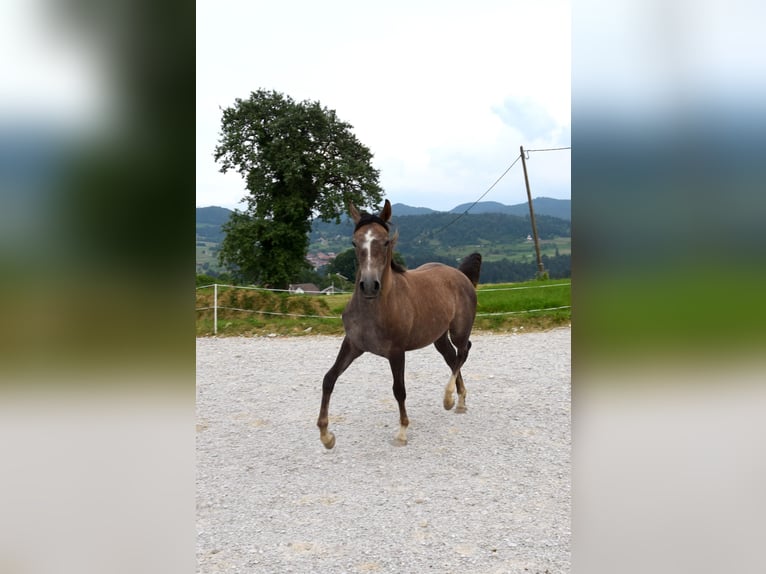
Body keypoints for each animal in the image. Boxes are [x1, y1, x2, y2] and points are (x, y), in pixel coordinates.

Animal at [316, 201, 484, 450]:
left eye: (385, 241)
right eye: (354, 242)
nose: (369, 285)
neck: (376, 309)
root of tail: (460, 275)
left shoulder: (396, 352)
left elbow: (399, 390)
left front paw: (402, 432)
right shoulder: (352, 345)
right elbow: (329, 379)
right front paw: (326, 436)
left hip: (459, 330)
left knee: (463, 351)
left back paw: (449, 398)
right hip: (438, 337)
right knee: (452, 358)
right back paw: (460, 401)